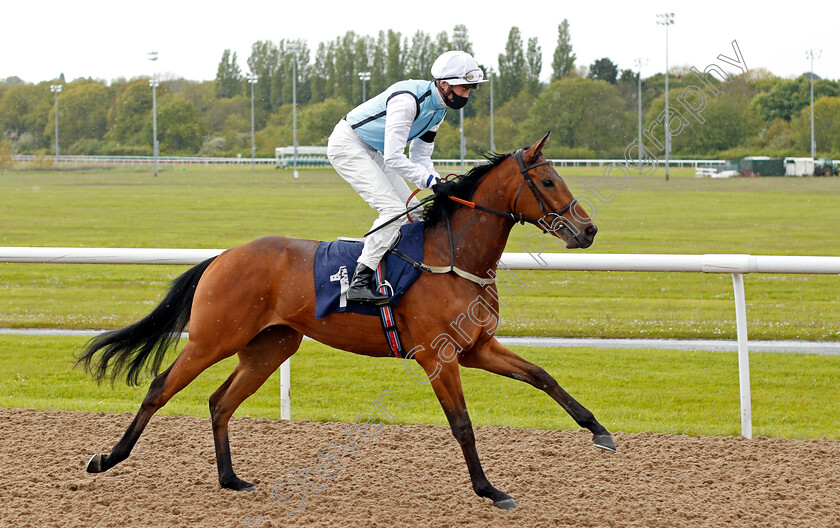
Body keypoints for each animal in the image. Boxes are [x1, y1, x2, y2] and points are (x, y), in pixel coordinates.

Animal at [79, 130, 612, 510]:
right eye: (548, 181)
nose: (587, 229)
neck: (453, 257)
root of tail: (222, 257)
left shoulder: (476, 347)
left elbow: (542, 375)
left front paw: (599, 431)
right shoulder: (438, 357)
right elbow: (462, 424)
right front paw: (490, 490)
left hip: (270, 346)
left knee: (219, 401)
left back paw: (231, 479)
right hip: (212, 339)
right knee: (160, 388)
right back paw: (107, 458)